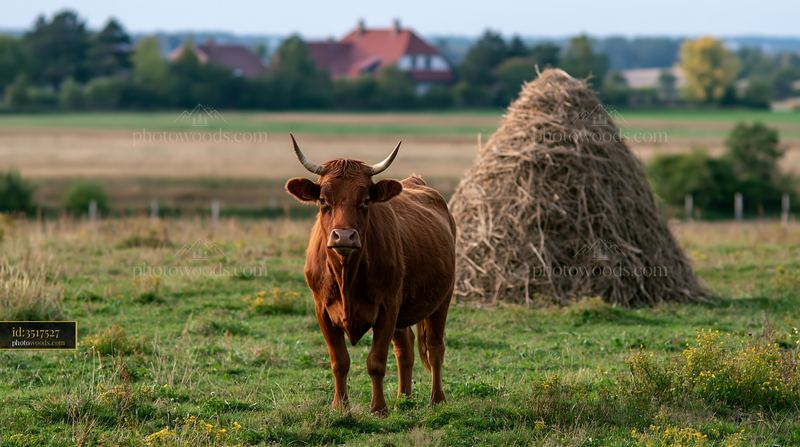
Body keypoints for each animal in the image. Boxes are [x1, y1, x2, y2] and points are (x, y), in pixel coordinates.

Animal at [284, 134, 456, 415]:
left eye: (364, 201)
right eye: (323, 201)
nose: (344, 236)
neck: (346, 275)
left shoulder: (387, 308)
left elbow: (376, 361)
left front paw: (378, 408)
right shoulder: (322, 310)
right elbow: (339, 361)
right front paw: (339, 406)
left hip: (442, 299)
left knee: (434, 347)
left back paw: (437, 400)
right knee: (405, 348)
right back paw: (403, 399)